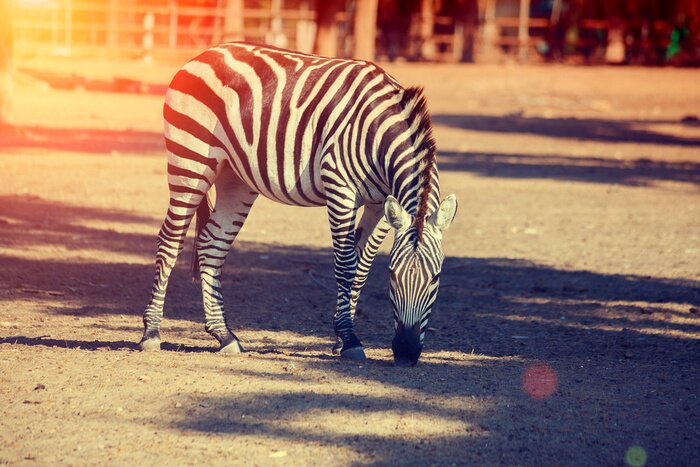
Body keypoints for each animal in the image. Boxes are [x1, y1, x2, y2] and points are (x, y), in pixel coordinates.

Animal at [139, 42, 457, 365]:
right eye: (392, 277)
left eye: (436, 278)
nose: (406, 352)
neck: (379, 133)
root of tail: (207, 52)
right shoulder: (340, 188)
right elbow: (346, 265)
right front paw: (349, 339)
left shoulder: (381, 205)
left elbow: (362, 266)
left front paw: (340, 338)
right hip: (191, 158)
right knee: (170, 240)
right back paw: (151, 333)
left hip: (234, 177)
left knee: (212, 244)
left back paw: (224, 335)